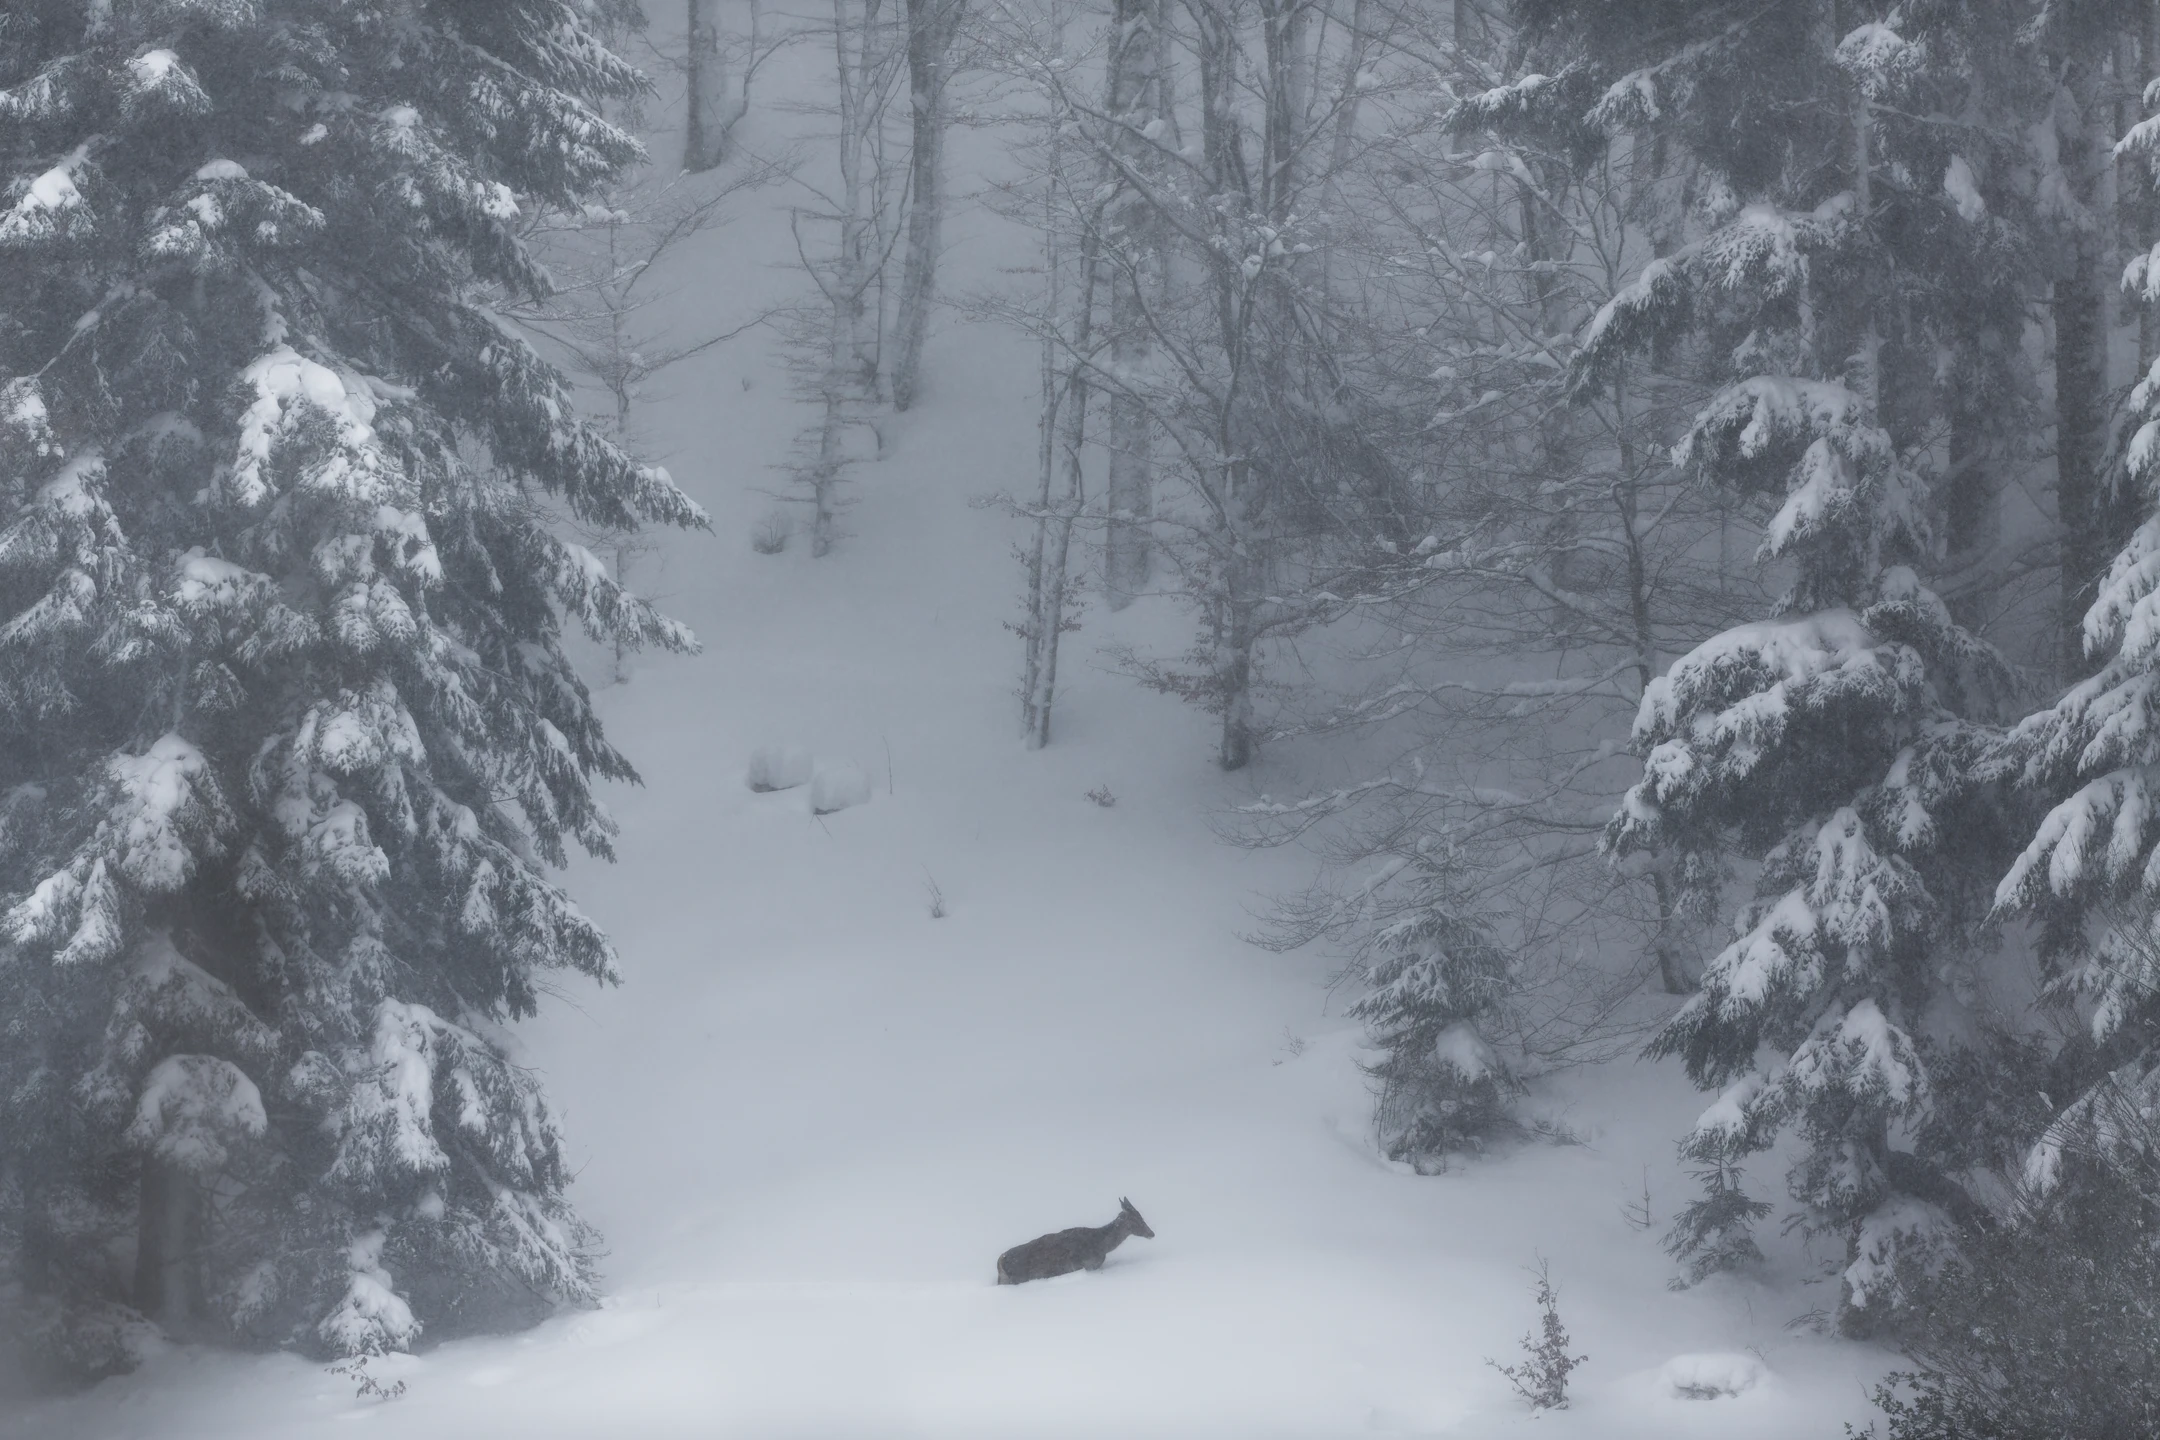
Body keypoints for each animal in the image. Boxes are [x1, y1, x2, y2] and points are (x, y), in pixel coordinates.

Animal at [996, 1198, 1155, 1284]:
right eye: (1136, 1220)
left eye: (1140, 1216)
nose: (1151, 1233)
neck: (1102, 1245)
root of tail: (1000, 1262)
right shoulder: (1088, 1265)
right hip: (1017, 1278)